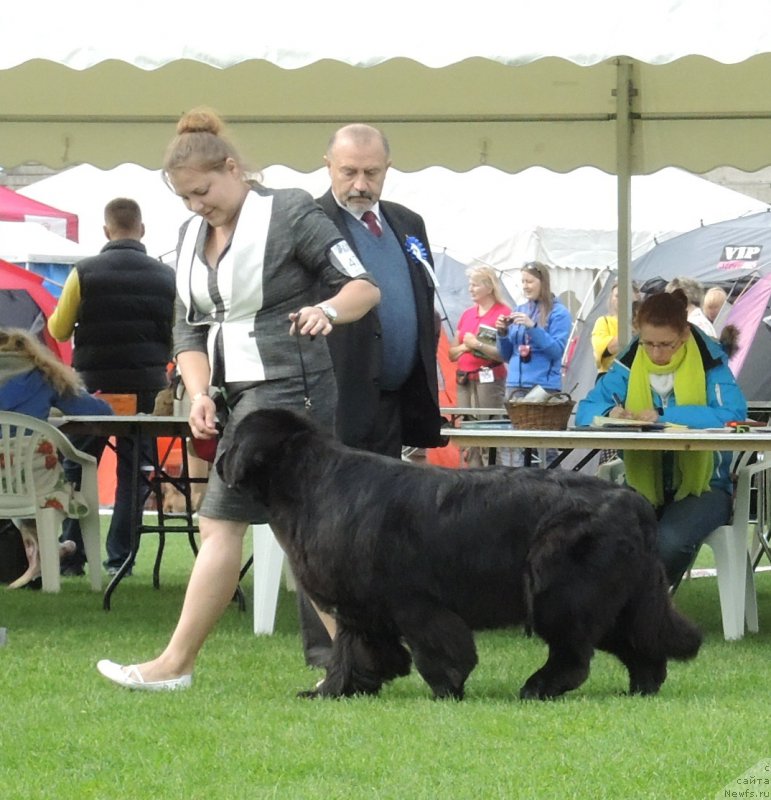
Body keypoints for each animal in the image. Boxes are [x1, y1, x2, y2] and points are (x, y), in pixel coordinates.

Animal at [220, 410, 704, 696]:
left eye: (232, 438)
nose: (220, 456)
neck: (309, 487)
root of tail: (632, 500)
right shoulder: (359, 608)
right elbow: (353, 650)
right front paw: (334, 690)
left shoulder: (414, 602)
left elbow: (438, 649)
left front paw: (447, 687)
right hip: (616, 599)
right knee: (640, 643)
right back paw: (641, 687)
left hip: (559, 592)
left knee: (573, 655)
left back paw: (537, 688)